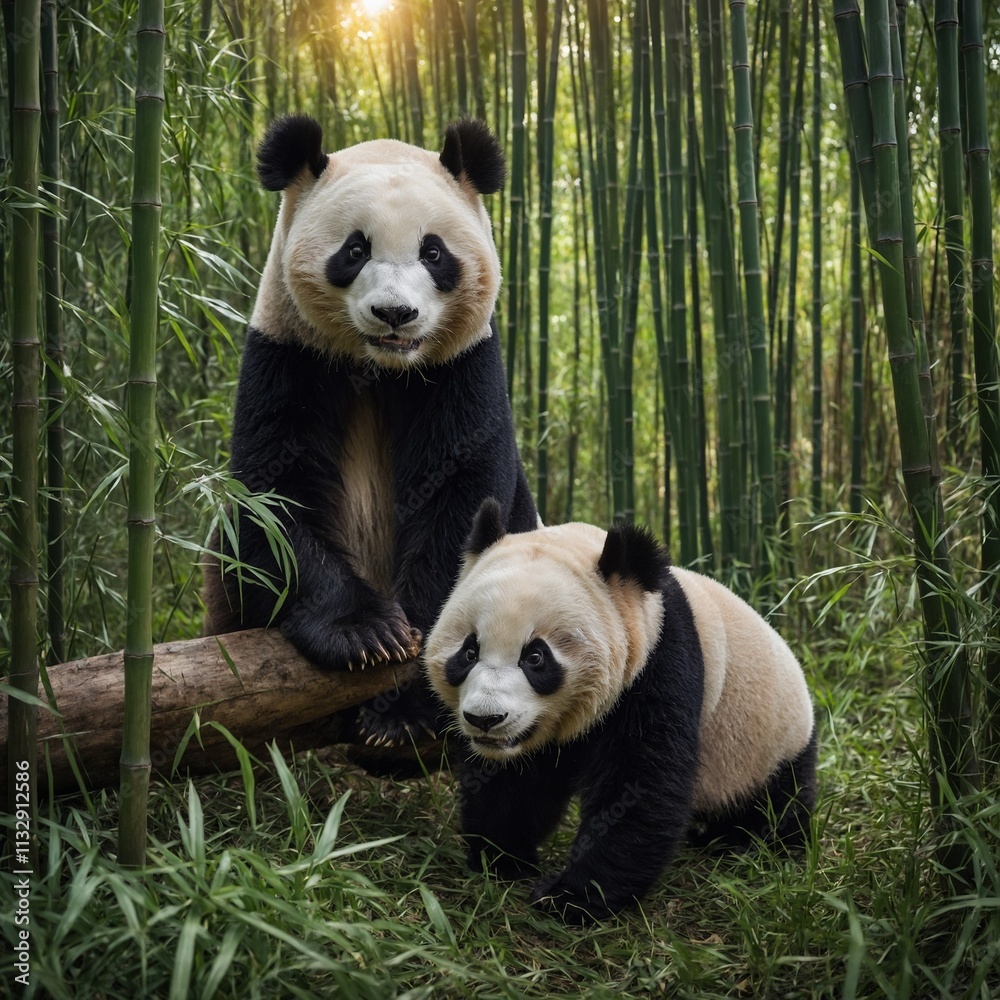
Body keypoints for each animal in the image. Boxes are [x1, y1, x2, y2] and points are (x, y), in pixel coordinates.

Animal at [203, 117, 538, 747]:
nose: (395, 315)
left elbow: (464, 497)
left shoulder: (464, 366)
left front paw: (403, 714)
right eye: (355, 251)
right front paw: (366, 634)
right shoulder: (287, 352)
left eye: (433, 252)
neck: (381, 369)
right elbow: (274, 494)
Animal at [423, 499, 817, 922]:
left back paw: (750, 842)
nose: (485, 719)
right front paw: (502, 858)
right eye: (469, 651)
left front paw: (572, 896)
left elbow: (639, 782)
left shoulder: (658, 663)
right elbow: (512, 779)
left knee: (778, 799)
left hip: (767, 742)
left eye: (536, 657)